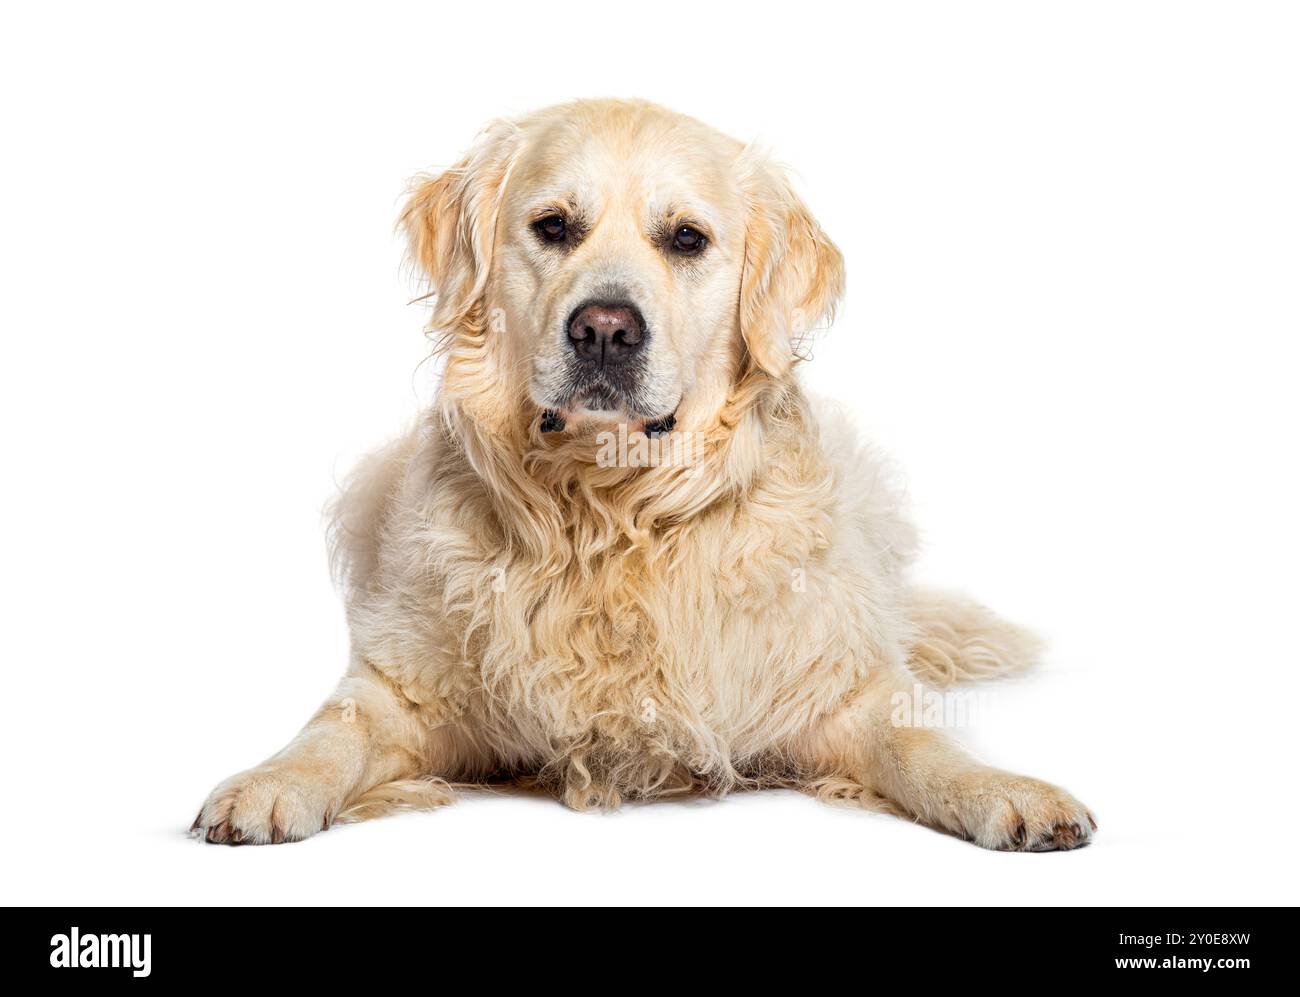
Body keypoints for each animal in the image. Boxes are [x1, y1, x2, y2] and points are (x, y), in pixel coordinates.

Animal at [192, 99, 1097, 852]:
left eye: (686, 238)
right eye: (553, 225)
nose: (603, 329)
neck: (607, 513)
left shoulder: (840, 686)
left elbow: (923, 742)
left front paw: (1009, 791)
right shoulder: (400, 686)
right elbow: (329, 730)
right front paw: (267, 784)